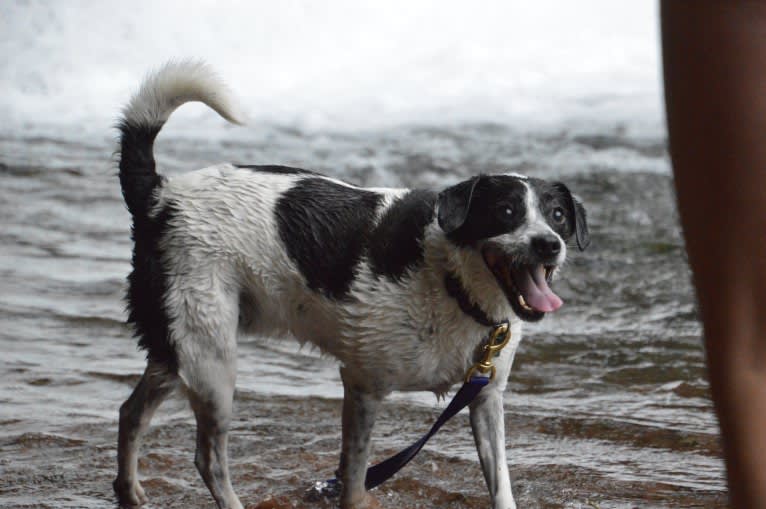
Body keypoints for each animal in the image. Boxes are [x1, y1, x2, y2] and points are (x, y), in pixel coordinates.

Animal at [114, 62, 592, 508]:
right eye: (506, 212)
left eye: (558, 216)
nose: (548, 245)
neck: (452, 282)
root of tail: (160, 195)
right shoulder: (364, 385)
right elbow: (355, 475)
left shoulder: (485, 397)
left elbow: (500, 482)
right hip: (211, 359)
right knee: (208, 458)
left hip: (180, 345)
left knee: (130, 412)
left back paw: (129, 490)